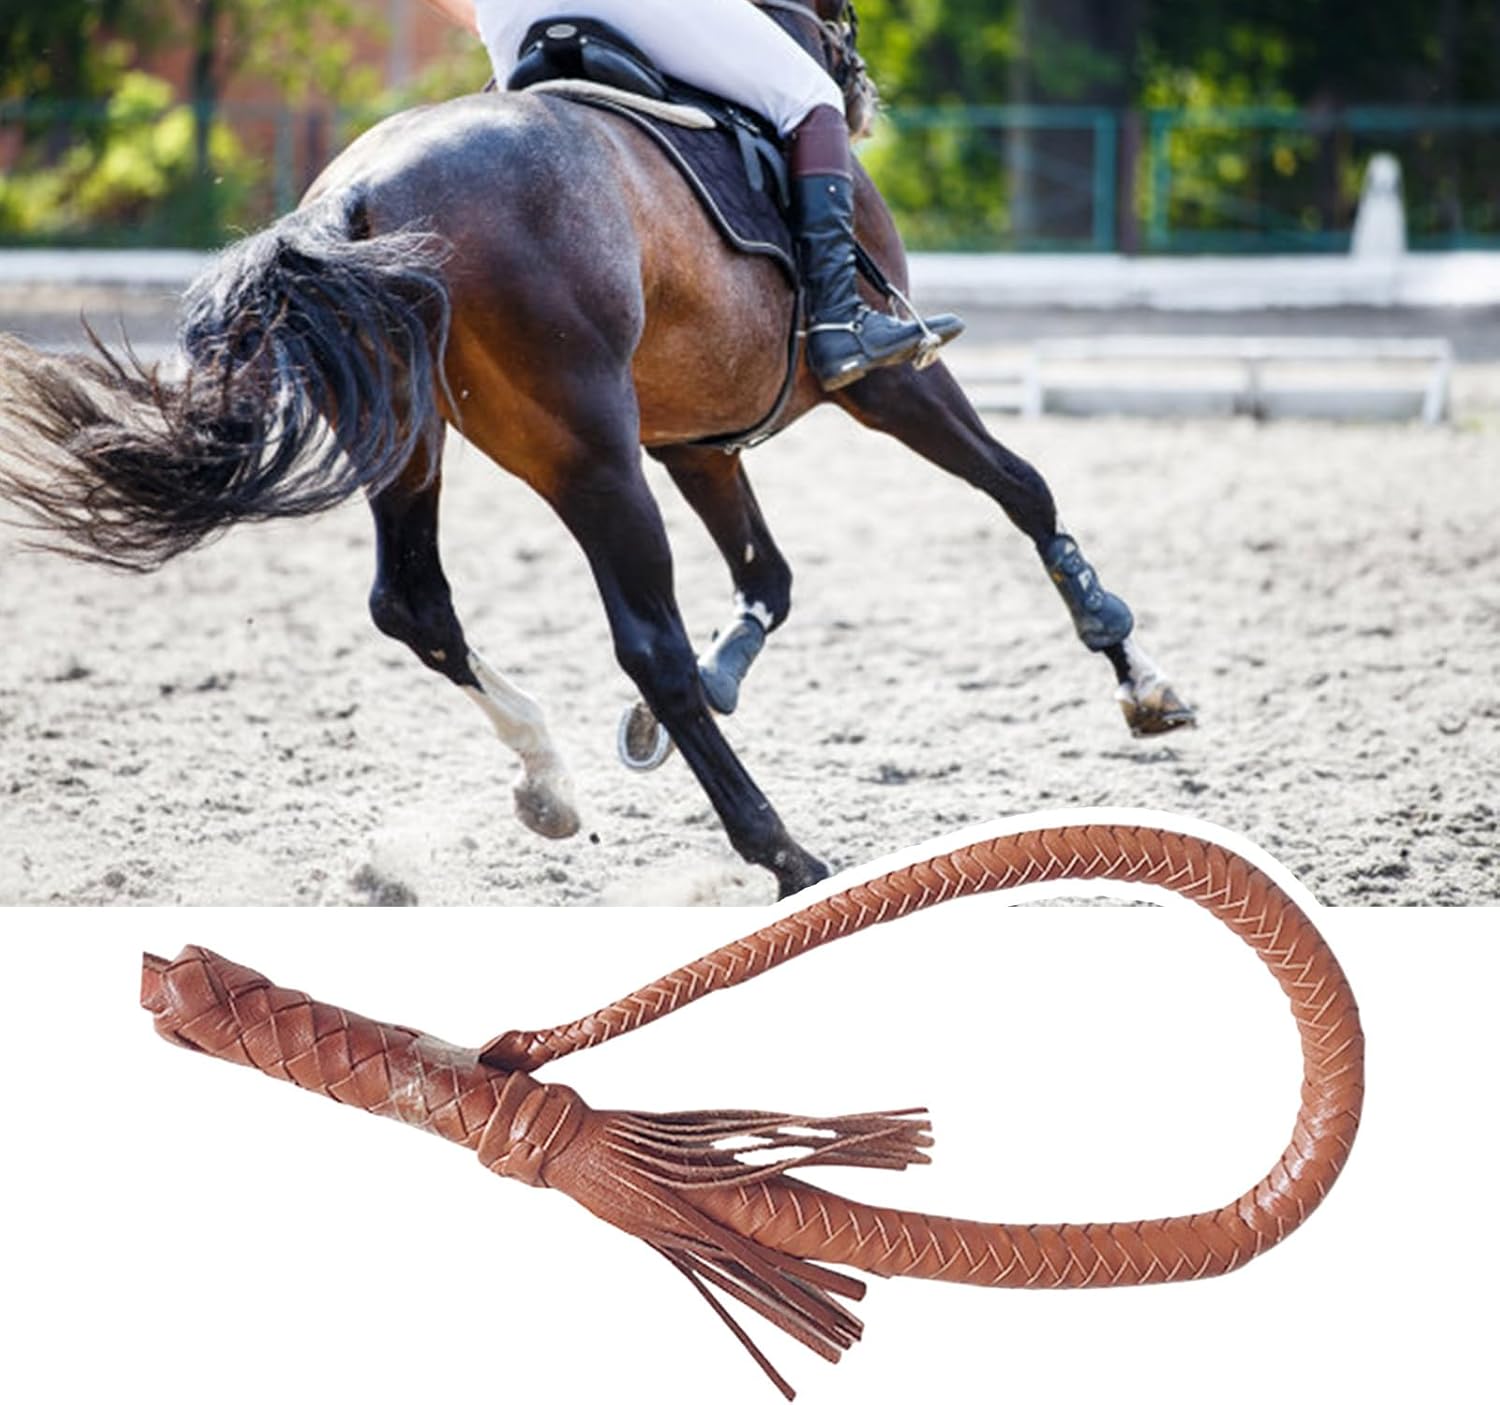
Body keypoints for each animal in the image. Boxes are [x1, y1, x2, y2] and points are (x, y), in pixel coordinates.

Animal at [0, 0, 1193, 899]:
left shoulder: (697, 441)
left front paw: (703, 692)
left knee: (415, 603)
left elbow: (769, 578)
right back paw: (786, 854)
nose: (858, 87)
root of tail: (355, 196)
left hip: (419, 439)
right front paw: (1136, 673)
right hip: (589, 454)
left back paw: (550, 780)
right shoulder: (887, 380)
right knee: (640, 638)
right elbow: (1024, 489)